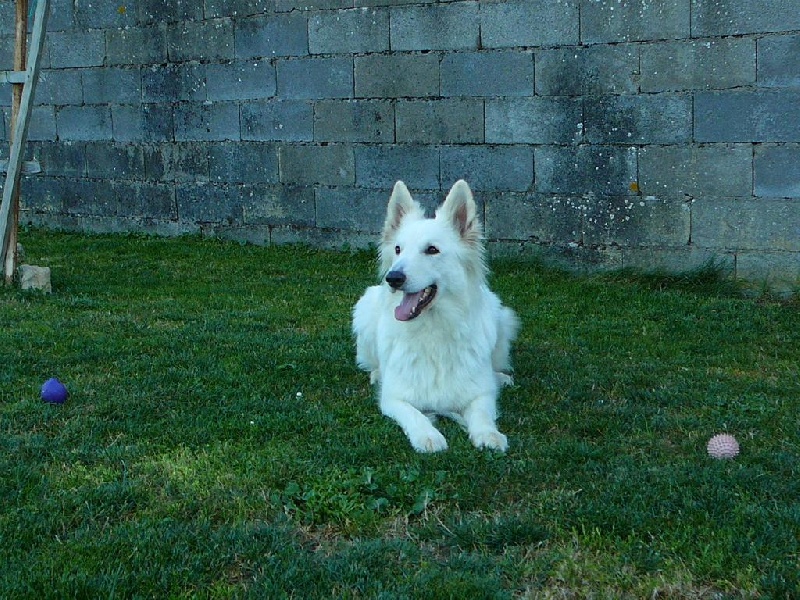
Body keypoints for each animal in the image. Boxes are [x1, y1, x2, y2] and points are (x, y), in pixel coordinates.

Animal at [352, 180, 519, 453]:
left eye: (432, 250)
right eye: (398, 249)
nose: (393, 278)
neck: (433, 332)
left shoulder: (481, 395)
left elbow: (482, 412)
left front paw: (488, 434)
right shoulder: (394, 399)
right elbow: (414, 414)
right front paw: (428, 435)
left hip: (501, 316)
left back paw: (501, 377)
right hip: (363, 309)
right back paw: (377, 374)